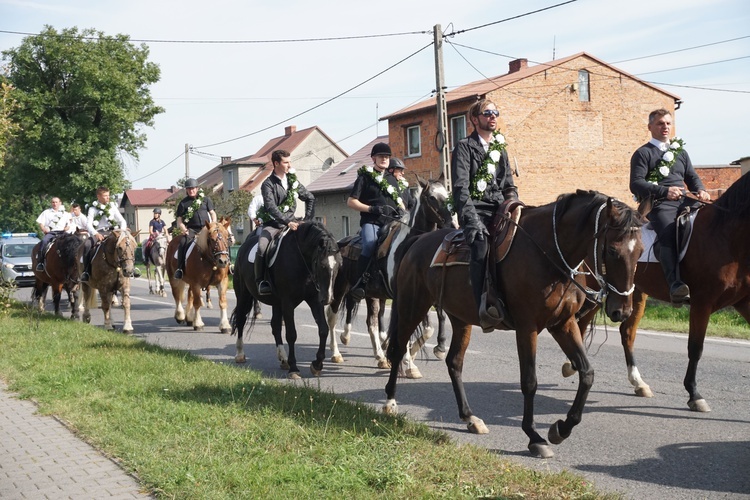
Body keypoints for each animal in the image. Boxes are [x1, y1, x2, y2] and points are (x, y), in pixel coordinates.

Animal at [232, 222, 344, 378]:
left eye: (339, 265)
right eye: (321, 265)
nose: (328, 298)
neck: (301, 259)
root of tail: (243, 246)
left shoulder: (314, 300)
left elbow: (323, 329)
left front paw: (317, 365)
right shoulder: (288, 302)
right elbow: (291, 334)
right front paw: (294, 368)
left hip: (276, 303)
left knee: (275, 326)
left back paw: (283, 359)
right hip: (244, 296)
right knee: (241, 320)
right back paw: (240, 354)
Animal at [324, 173, 452, 376]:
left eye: (447, 194)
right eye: (432, 197)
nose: (452, 222)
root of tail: (341, 242)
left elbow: (427, 330)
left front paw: (411, 356)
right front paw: (409, 363)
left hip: (371, 294)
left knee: (371, 323)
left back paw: (380, 357)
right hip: (339, 289)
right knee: (332, 316)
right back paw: (337, 353)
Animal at [384, 190, 644, 458]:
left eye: (640, 252)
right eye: (612, 250)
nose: (622, 310)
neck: (548, 252)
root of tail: (417, 241)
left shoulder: (563, 324)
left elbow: (587, 373)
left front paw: (561, 428)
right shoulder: (527, 327)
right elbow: (529, 381)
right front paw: (534, 437)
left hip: (460, 319)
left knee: (454, 363)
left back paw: (470, 418)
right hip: (412, 306)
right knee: (398, 349)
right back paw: (390, 402)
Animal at [568, 170, 750, 412]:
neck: (726, 236)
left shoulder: (744, 302)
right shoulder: (702, 303)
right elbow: (695, 348)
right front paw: (694, 394)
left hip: (629, 295)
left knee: (625, 332)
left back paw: (638, 383)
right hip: (598, 290)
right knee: (582, 322)